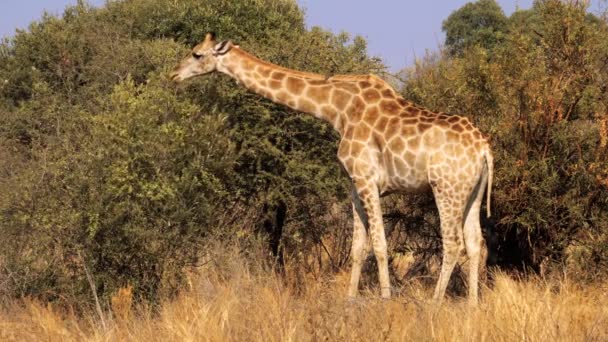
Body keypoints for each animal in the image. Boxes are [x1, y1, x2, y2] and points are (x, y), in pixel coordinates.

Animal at [170, 33, 494, 306]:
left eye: (197, 54)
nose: (173, 74)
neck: (337, 110)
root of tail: (484, 150)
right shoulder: (353, 184)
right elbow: (358, 247)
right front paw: (350, 298)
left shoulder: (367, 180)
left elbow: (380, 243)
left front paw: (385, 298)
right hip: (472, 192)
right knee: (476, 242)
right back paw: (472, 304)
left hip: (446, 188)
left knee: (452, 243)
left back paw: (435, 303)